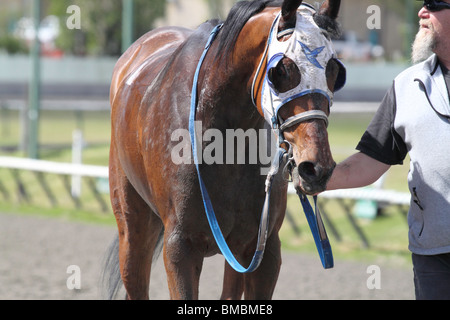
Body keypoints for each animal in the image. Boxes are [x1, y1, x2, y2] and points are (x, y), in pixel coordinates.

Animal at [103, 0, 346, 300]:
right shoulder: (180, 248)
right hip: (132, 229)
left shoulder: (261, 248)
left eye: (335, 71)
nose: (316, 167)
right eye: (281, 70)